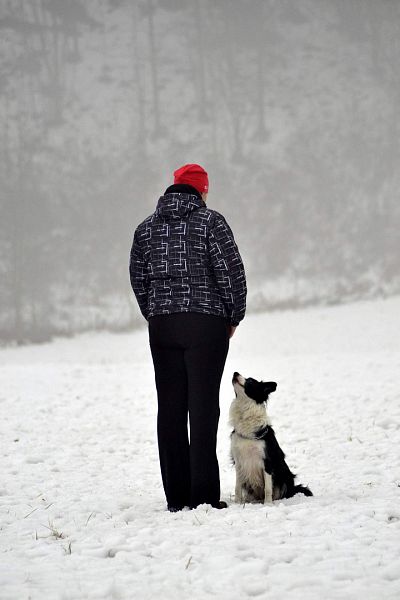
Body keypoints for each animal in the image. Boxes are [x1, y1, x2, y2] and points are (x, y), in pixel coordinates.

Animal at [231, 372, 312, 504]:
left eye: (250, 381)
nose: (235, 373)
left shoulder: (267, 461)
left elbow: (268, 488)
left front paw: (268, 504)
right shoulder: (239, 461)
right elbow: (237, 486)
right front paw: (237, 503)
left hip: (286, 477)